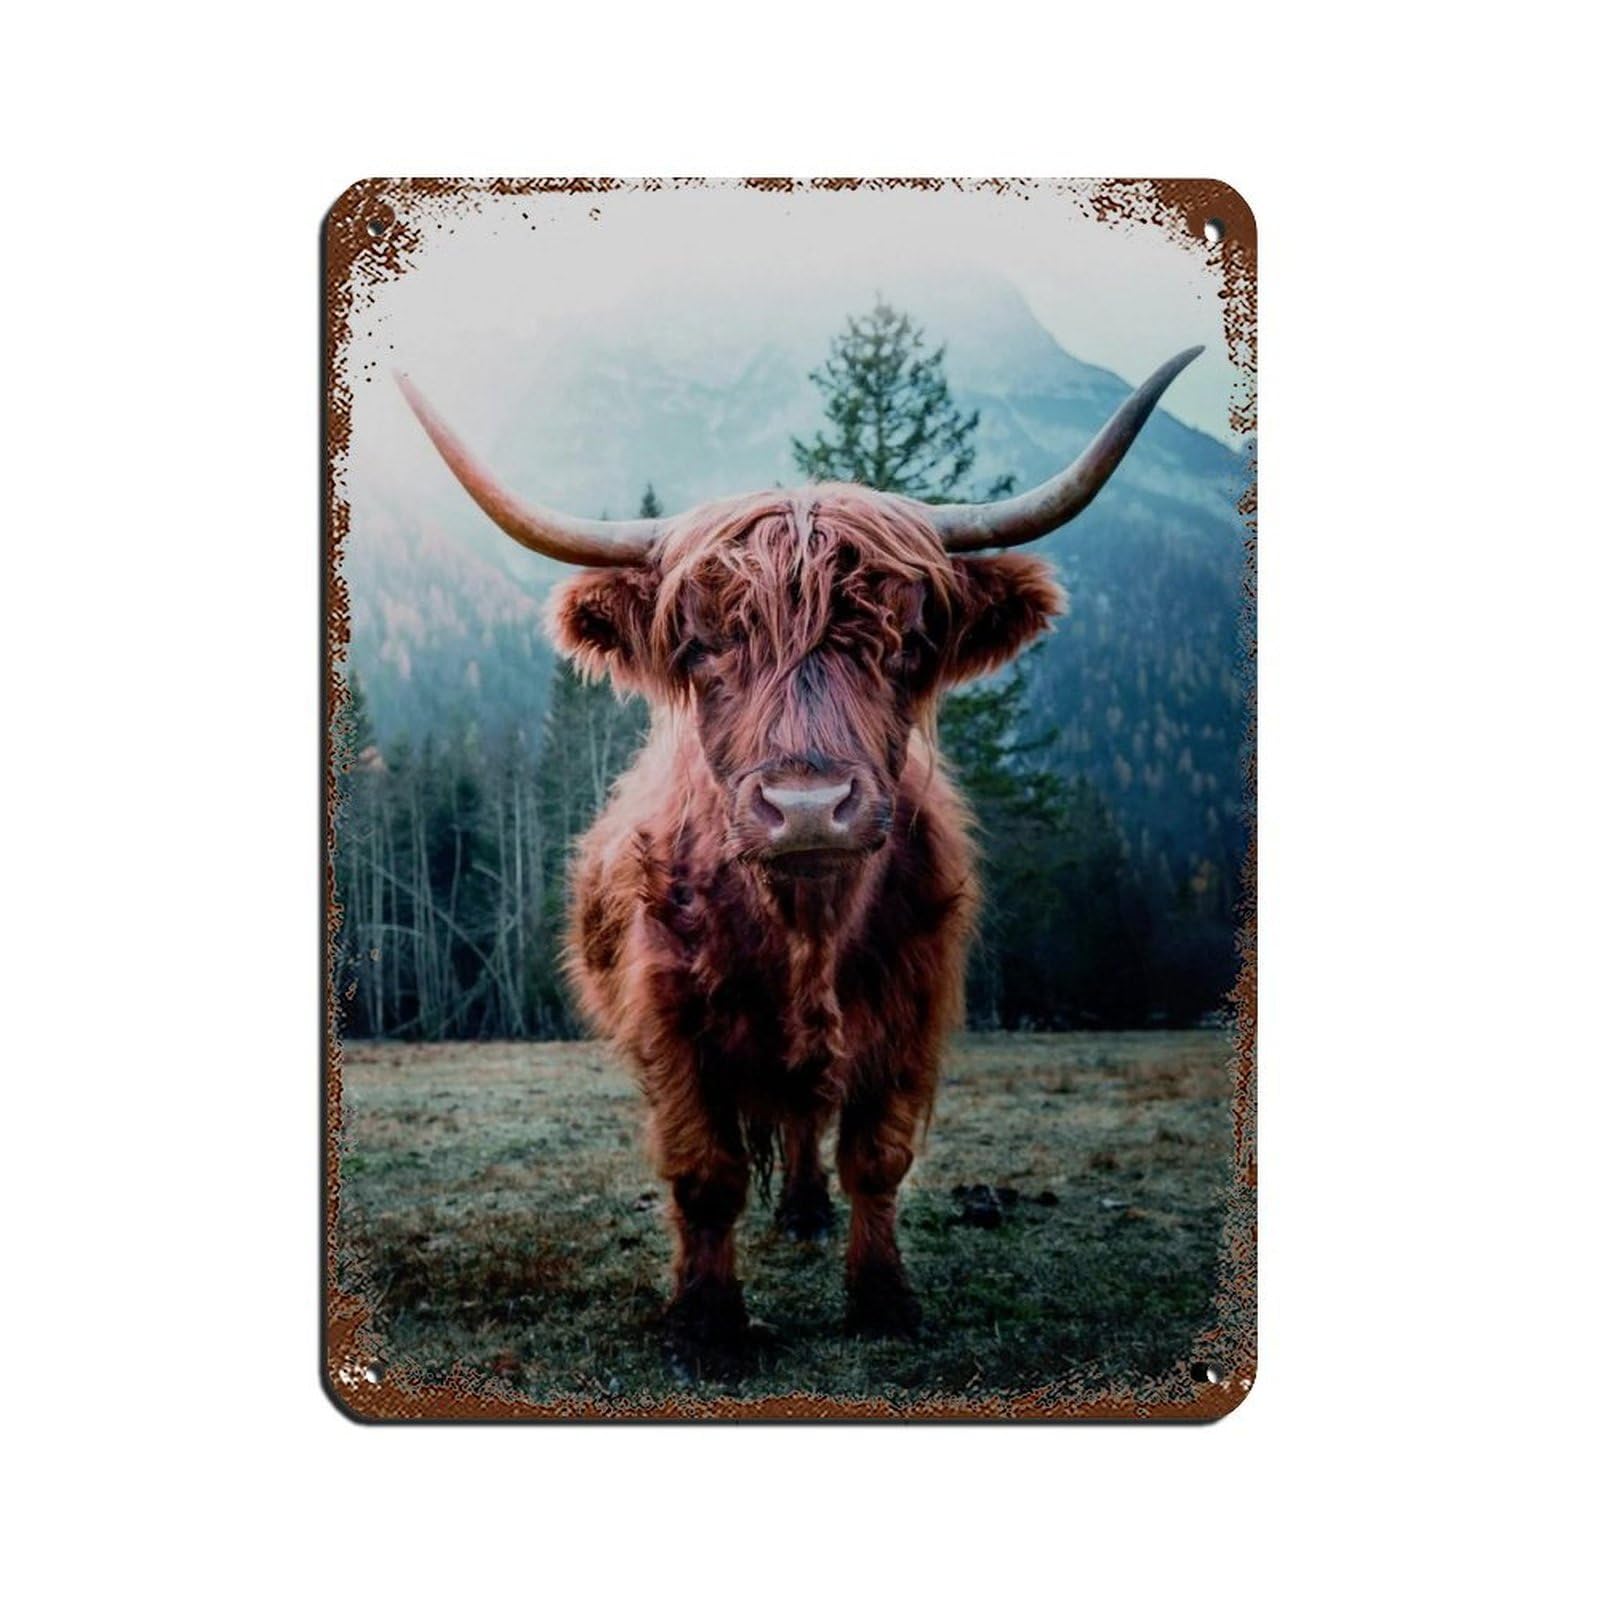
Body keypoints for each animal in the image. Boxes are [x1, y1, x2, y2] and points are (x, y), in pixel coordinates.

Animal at [395, 346, 1200, 1362]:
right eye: (701, 646)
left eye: (907, 641)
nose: (808, 808)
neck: (804, 930)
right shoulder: (671, 1020)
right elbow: (705, 1171)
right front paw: (706, 1323)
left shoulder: (910, 1008)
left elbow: (877, 1157)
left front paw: (883, 1298)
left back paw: (810, 1214)